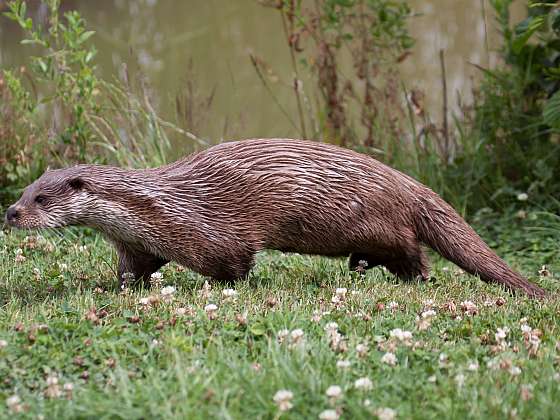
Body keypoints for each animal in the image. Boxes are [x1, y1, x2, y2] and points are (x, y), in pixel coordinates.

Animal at [4, 137, 548, 296]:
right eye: (23, 191)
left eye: (41, 199)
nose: (10, 213)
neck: (157, 206)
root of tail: (404, 182)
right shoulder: (139, 244)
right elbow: (132, 272)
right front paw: (114, 288)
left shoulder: (210, 235)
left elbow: (235, 265)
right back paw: (361, 267)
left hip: (374, 220)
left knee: (413, 250)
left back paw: (410, 276)